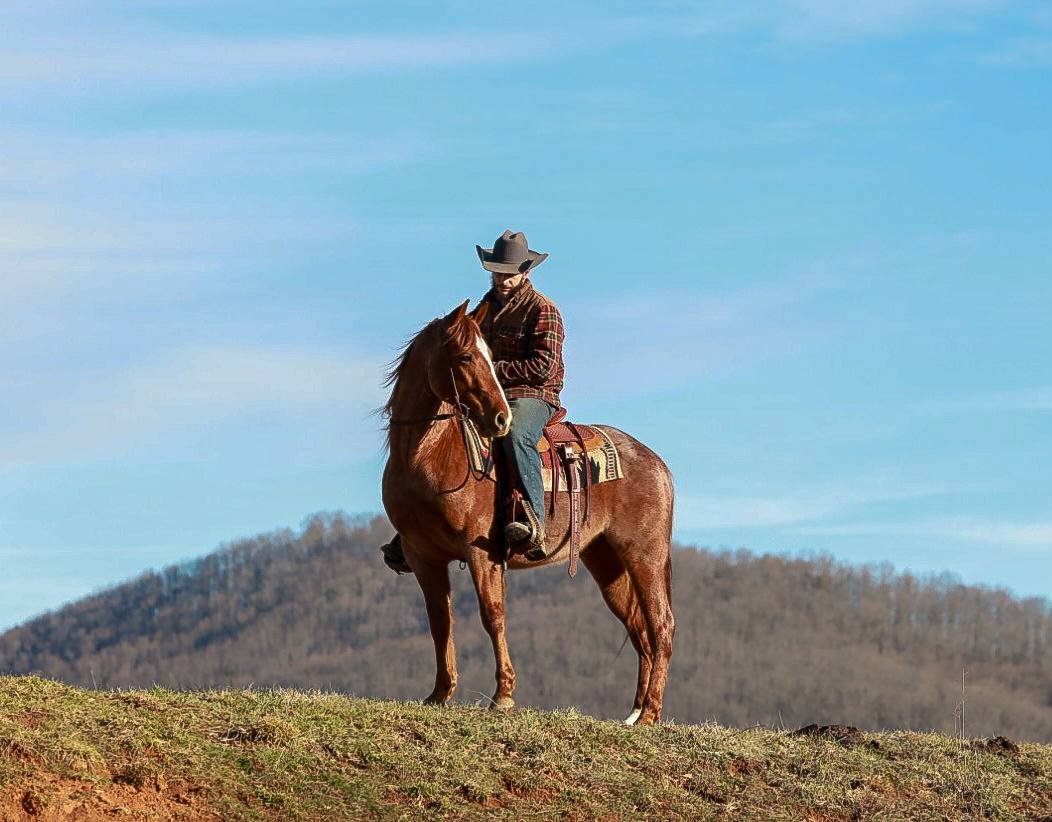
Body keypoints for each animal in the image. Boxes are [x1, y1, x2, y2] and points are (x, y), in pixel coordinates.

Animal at [381, 299, 675, 725]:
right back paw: (634, 714)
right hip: (607, 562)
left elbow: (492, 614)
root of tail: (657, 464)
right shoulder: (423, 556)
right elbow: (440, 622)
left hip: (645, 556)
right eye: (466, 355)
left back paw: (651, 713)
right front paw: (439, 693)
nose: (501, 418)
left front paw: (503, 695)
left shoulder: (481, 552)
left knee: (662, 625)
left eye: (489, 357)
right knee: (640, 629)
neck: (428, 455)